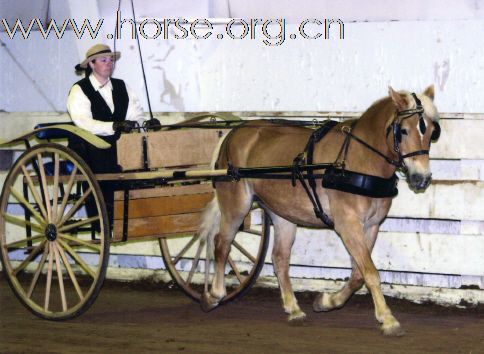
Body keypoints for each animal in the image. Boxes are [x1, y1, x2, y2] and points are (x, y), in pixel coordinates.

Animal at [199, 85, 440, 334]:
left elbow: (358, 274)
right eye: (403, 130)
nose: (422, 179)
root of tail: (233, 133)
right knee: (221, 245)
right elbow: (370, 272)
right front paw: (388, 319)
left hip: (282, 213)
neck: (358, 160)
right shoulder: (347, 224)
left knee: (279, 258)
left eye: (433, 131)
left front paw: (327, 302)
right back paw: (214, 295)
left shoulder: (371, 226)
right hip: (236, 206)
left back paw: (293, 309)